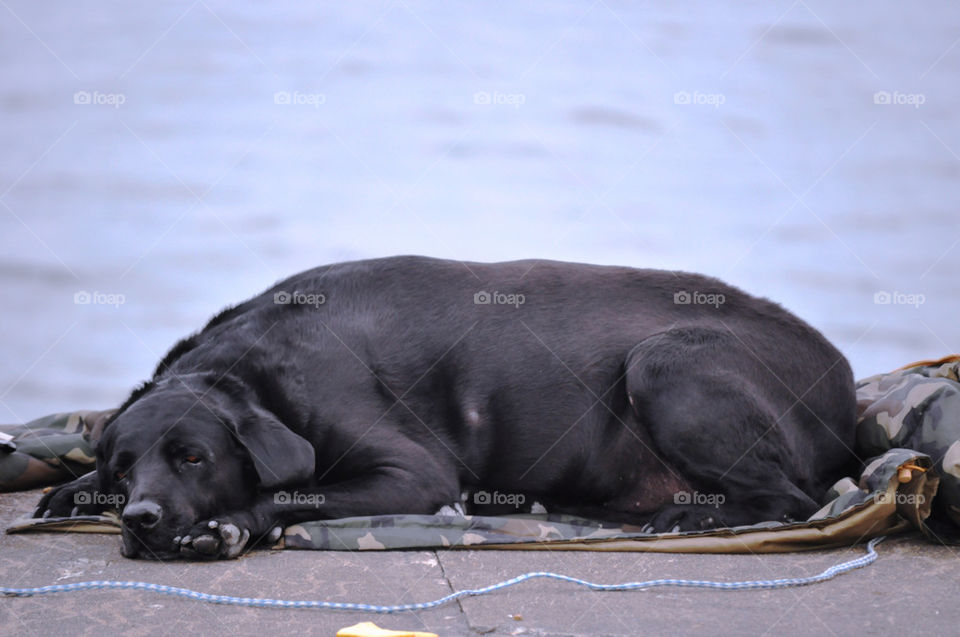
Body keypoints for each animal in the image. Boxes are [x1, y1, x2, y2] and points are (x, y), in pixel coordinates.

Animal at [35, 256, 856, 560]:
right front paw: (70, 491)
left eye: (194, 457)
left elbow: (289, 492)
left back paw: (687, 516)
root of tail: (843, 380)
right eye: (122, 467)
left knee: (786, 499)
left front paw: (227, 524)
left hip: (668, 361)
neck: (254, 371)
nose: (141, 519)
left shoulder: (412, 475)